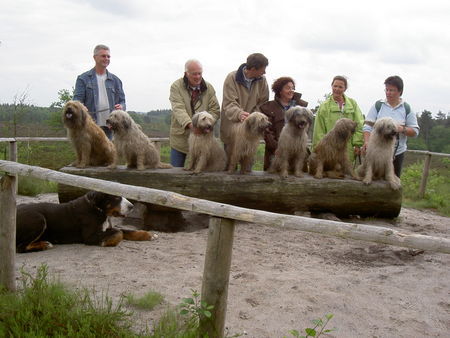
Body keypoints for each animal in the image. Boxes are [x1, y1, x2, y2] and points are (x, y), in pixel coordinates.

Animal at [16, 191, 156, 252]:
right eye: (116, 197)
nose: (131, 206)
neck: (99, 210)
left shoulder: (107, 227)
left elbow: (126, 230)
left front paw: (149, 234)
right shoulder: (89, 237)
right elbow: (119, 232)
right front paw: (107, 242)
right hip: (39, 219)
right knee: (20, 247)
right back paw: (44, 244)